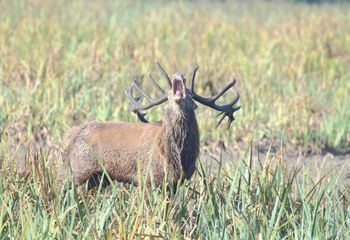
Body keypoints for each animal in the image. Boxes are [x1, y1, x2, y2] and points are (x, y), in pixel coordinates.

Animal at [58, 61, 241, 189]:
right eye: (168, 95)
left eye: (190, 94)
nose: (178, 74)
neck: (177, 155)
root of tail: (69, 135)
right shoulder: (148, 177)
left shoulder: (176, 182)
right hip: (77, 168)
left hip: (99, 177)